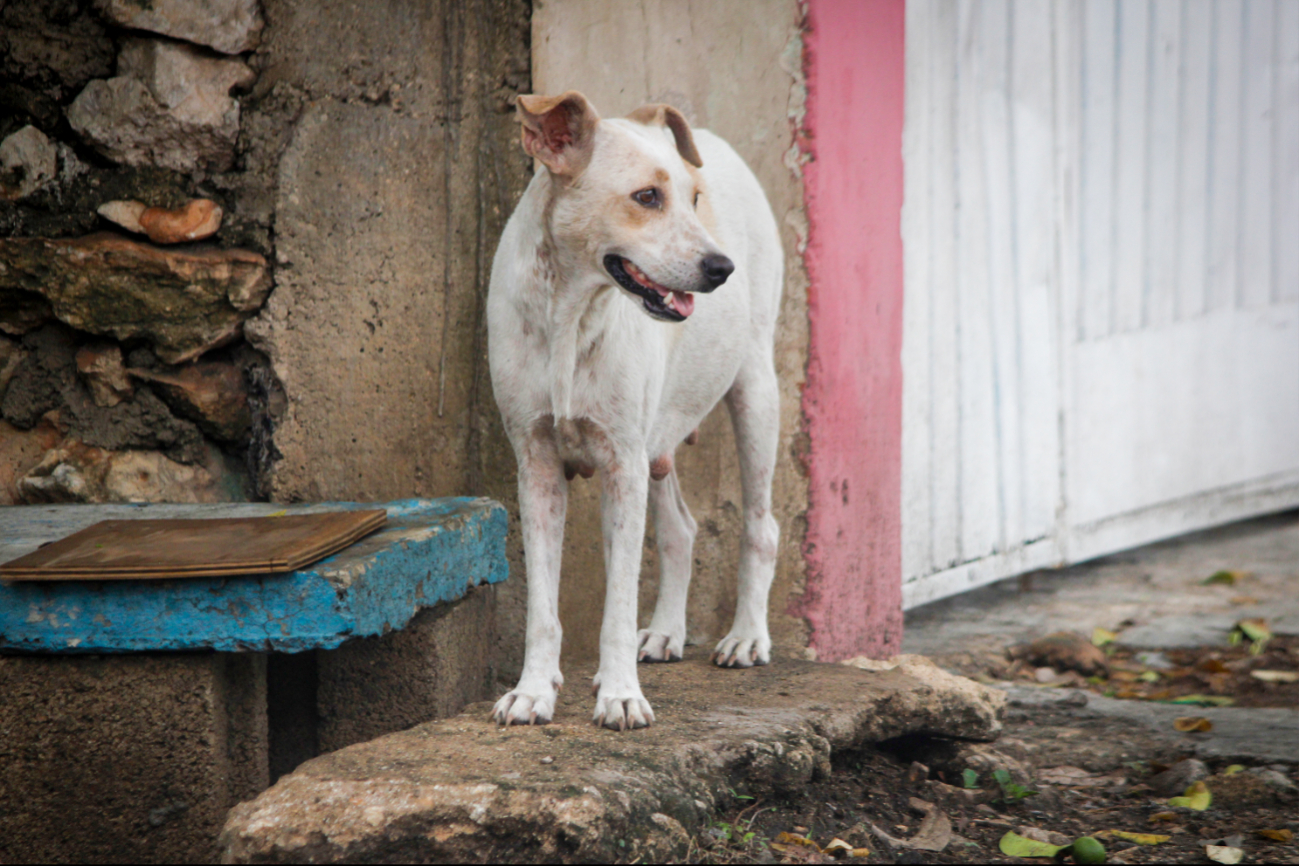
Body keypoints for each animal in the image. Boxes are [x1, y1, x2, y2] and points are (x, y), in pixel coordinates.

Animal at [488, 91, 779, 727]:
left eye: (694, 199)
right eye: (647, 197)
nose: (722, 269)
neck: (572, 317)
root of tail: (713, 137)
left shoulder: (621, 463)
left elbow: (617, 604)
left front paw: (619, 694)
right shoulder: (538, 465)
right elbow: (543, 608)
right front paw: (533, 690)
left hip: (755, 396)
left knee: (761, 528)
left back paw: (747, 636)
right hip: (657, 441)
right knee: (682, 530)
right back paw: (668, 631)